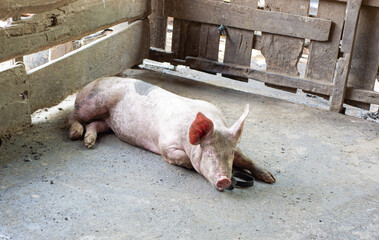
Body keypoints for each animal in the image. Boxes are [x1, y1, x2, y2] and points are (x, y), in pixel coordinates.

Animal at [67, 76, 276, 189]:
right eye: (209, 153)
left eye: (230, 153)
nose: (225, 180)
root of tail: (92, 82)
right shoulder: (166, 146)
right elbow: (185, 160)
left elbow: (247, 159)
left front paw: (270, 178)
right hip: (93, 103)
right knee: (72, 116)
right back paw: (75, 134)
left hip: (109, 121)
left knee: (95, 125)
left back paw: (88, 142)